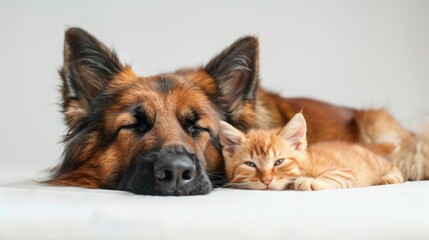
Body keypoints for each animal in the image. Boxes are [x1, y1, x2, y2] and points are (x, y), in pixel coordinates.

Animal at [219, 113, 402, 191]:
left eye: (279, 162)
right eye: (250, 164)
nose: (266, 180)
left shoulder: (345, 170)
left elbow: (335, 176)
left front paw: (311, 182)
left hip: (375, 162)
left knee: (393, 167)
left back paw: (390, 177)